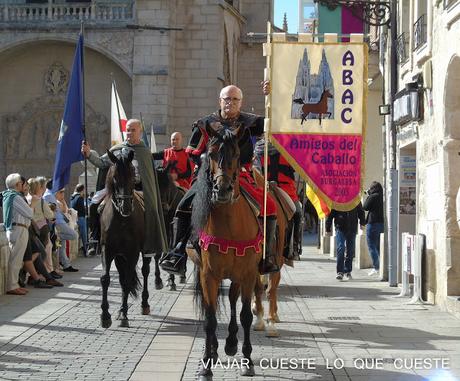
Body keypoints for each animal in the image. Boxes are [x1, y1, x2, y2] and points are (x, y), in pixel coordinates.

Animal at [191, 124, 262, 378]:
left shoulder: (249, 274)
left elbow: (246, 315)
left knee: (232, 299)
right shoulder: (208, 275)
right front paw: (206, 365)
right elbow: (210, 319)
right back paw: (214, 349)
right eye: (210, 154)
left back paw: (231, 343)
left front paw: (247, 360)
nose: (222, 189)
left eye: (236, 154)